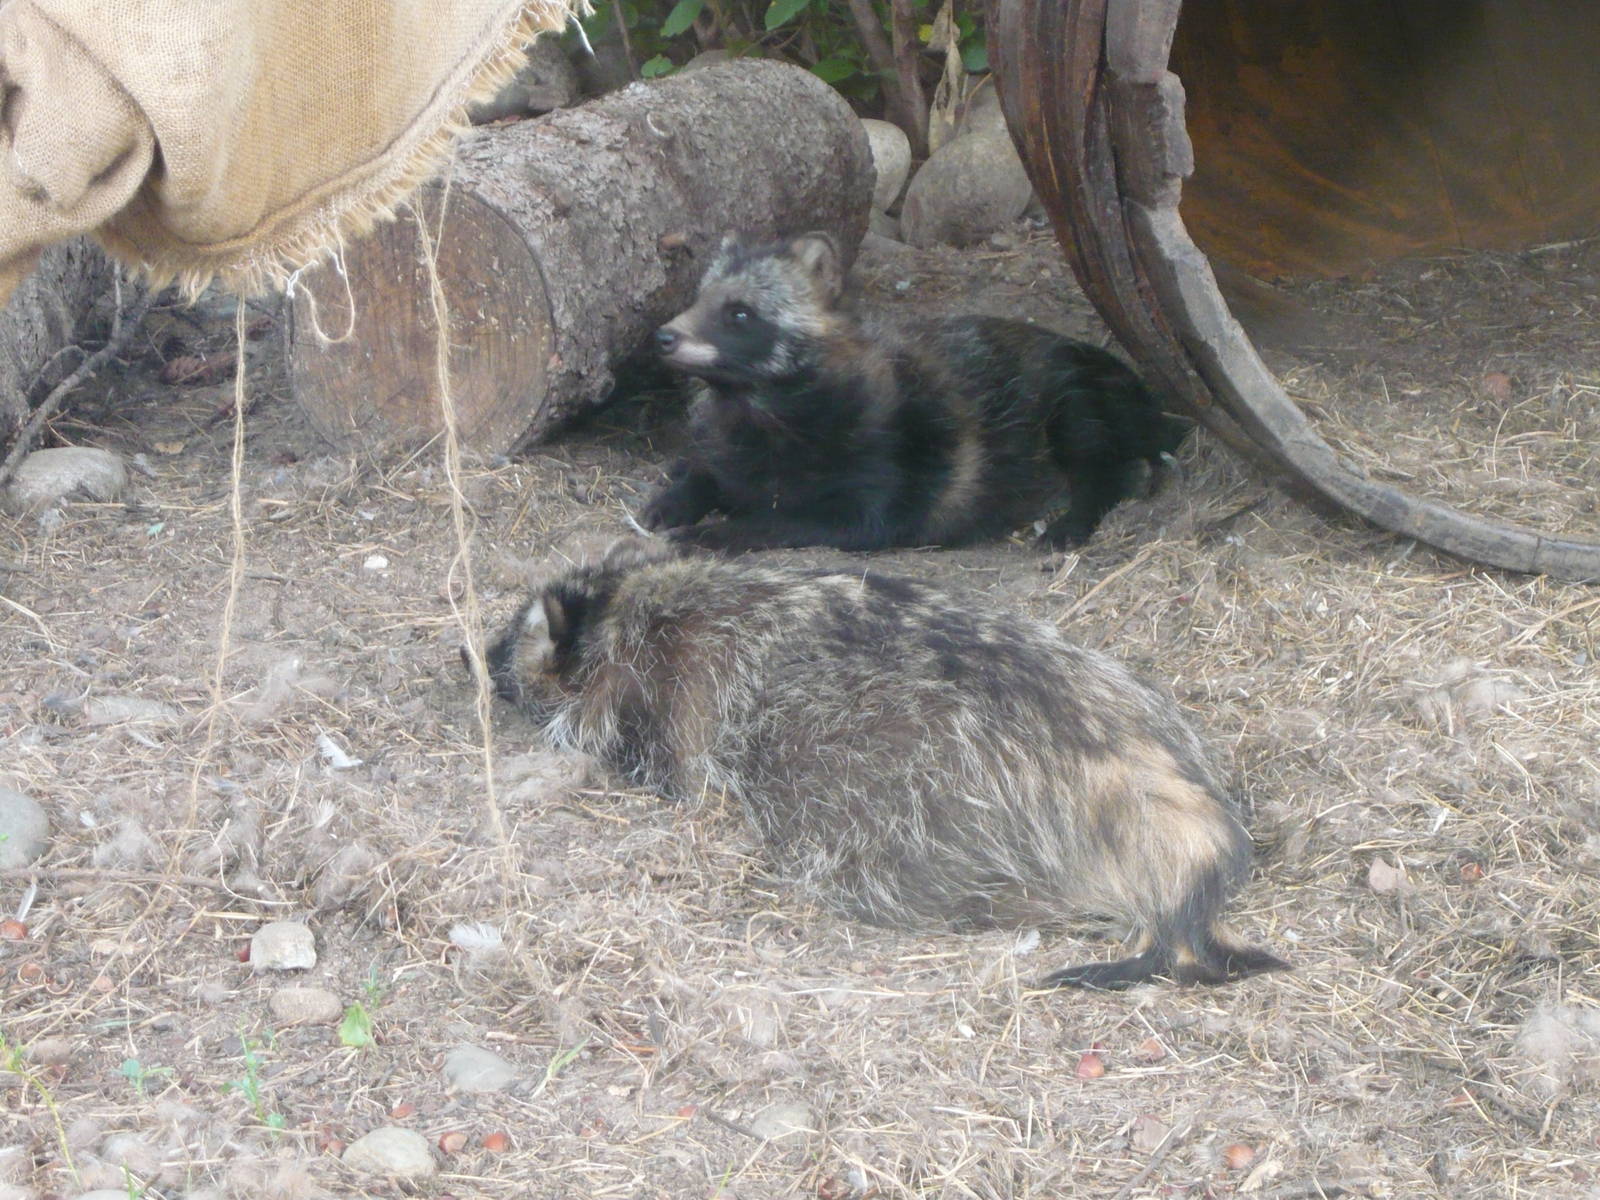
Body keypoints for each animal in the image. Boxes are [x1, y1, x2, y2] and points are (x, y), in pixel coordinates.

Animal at [642, 232, 1186, 553]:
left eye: (739, 313)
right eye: (698, 299)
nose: (663, 337)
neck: (757, 404)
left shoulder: (892, 461)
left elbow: (820, 522)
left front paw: (720, 531)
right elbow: (718, 473)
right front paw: (685, 493)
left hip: (1082, 396)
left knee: (1092, 450)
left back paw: (1080, 512)